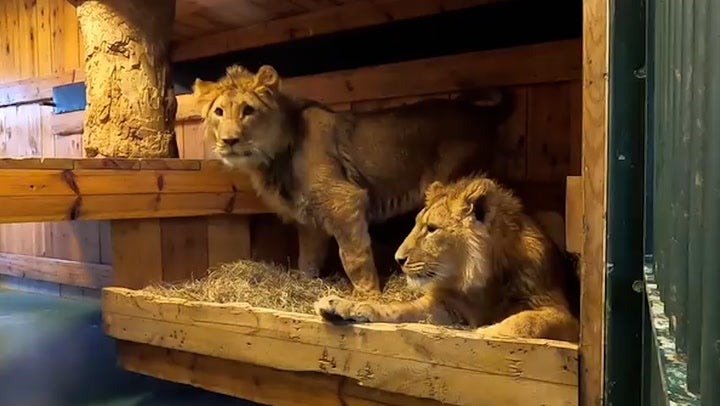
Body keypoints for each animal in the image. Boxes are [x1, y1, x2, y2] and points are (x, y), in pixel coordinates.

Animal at [192, 65, 512, 294]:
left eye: (248, 110)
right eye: (219, 112)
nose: (229, 141)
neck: (274, 157)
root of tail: (485, 114)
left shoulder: (345, 200)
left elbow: (354, 257)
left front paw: (368, 297)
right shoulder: (309, 219)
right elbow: (308, 259)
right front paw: (304, 287)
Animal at [313, 176, 580, 342]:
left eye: (432, 229)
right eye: (417, 224)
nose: (398, 259)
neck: (481, 284)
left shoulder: (562, 314)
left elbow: (528, 321)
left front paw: (486, 332)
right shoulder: (445, 305)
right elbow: (397, 310)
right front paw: (343, 305)